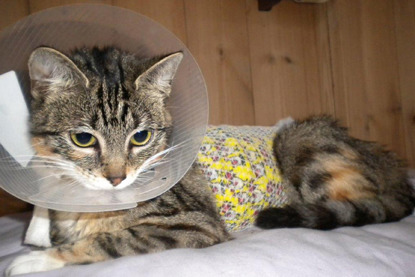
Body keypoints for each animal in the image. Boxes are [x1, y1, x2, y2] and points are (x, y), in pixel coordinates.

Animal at [4, 47, 415, 274]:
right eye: (83, 138)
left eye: (141, 137)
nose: (117, 178)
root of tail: (390, 166)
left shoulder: (194, 224)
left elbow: (113, 240)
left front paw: (34, 262)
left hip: (298, 139)